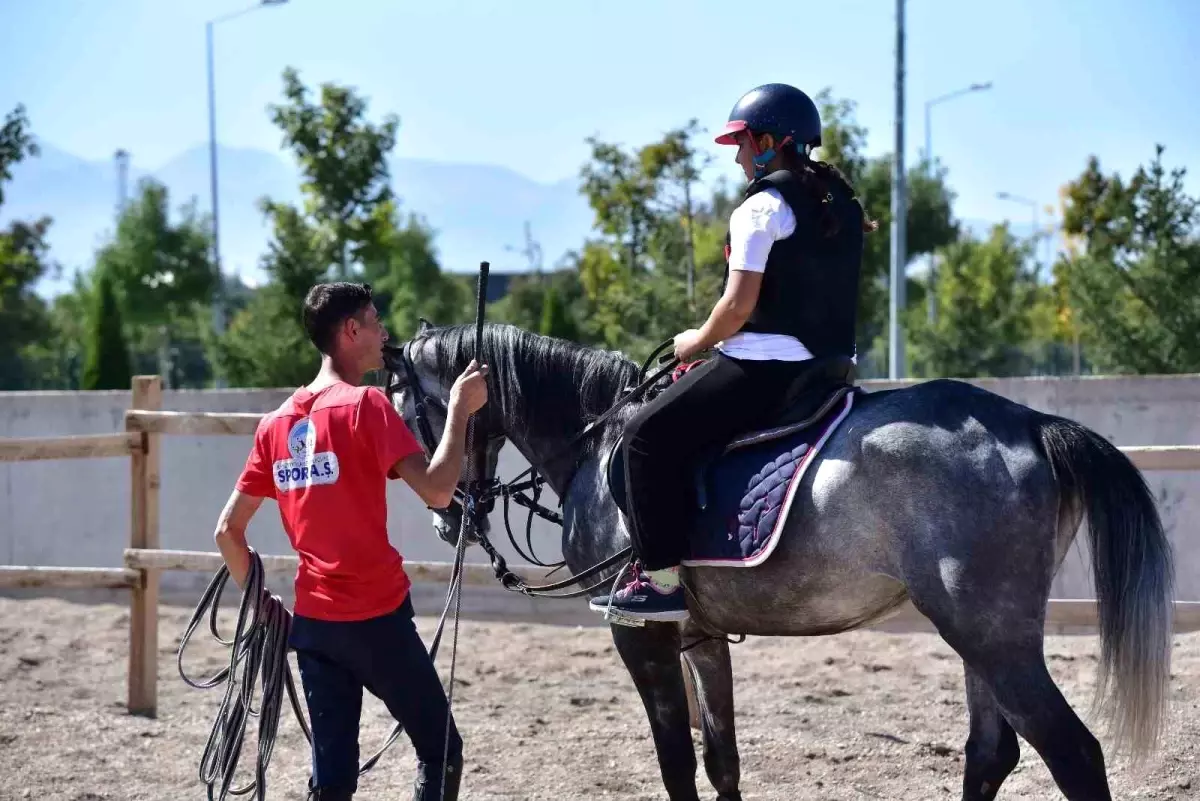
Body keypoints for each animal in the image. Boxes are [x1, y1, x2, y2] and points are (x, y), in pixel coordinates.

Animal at [388, 318, 1176, 801]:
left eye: (405, 408)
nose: (446, 515)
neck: (600, 440)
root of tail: (1034, 424)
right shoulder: (698, 637)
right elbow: (721, 759)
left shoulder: (638, 636)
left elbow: (676, 763)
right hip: (979, 638)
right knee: (991, 752)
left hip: (993, 636)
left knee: (1073, 754)